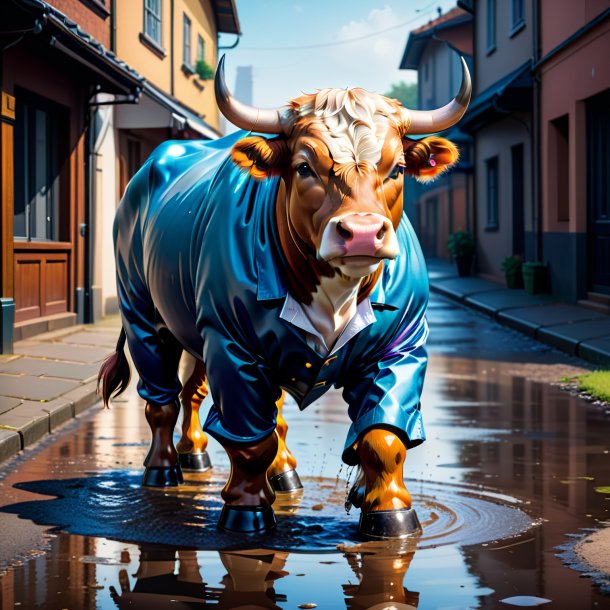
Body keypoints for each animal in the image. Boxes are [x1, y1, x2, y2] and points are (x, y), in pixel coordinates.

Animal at [98, 54, 470, 536]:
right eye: (304, 166)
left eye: (398, 169)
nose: (362, 233)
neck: (335, 293)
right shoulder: (232, 346)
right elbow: (249, 440)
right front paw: (247, 509)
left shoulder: (400, 347)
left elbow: (382, 436)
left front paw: (389, 510)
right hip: (142, 313)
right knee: (160, 399)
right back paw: (164, 467)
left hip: (198, 330)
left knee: (200, 394)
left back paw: (222, 458)